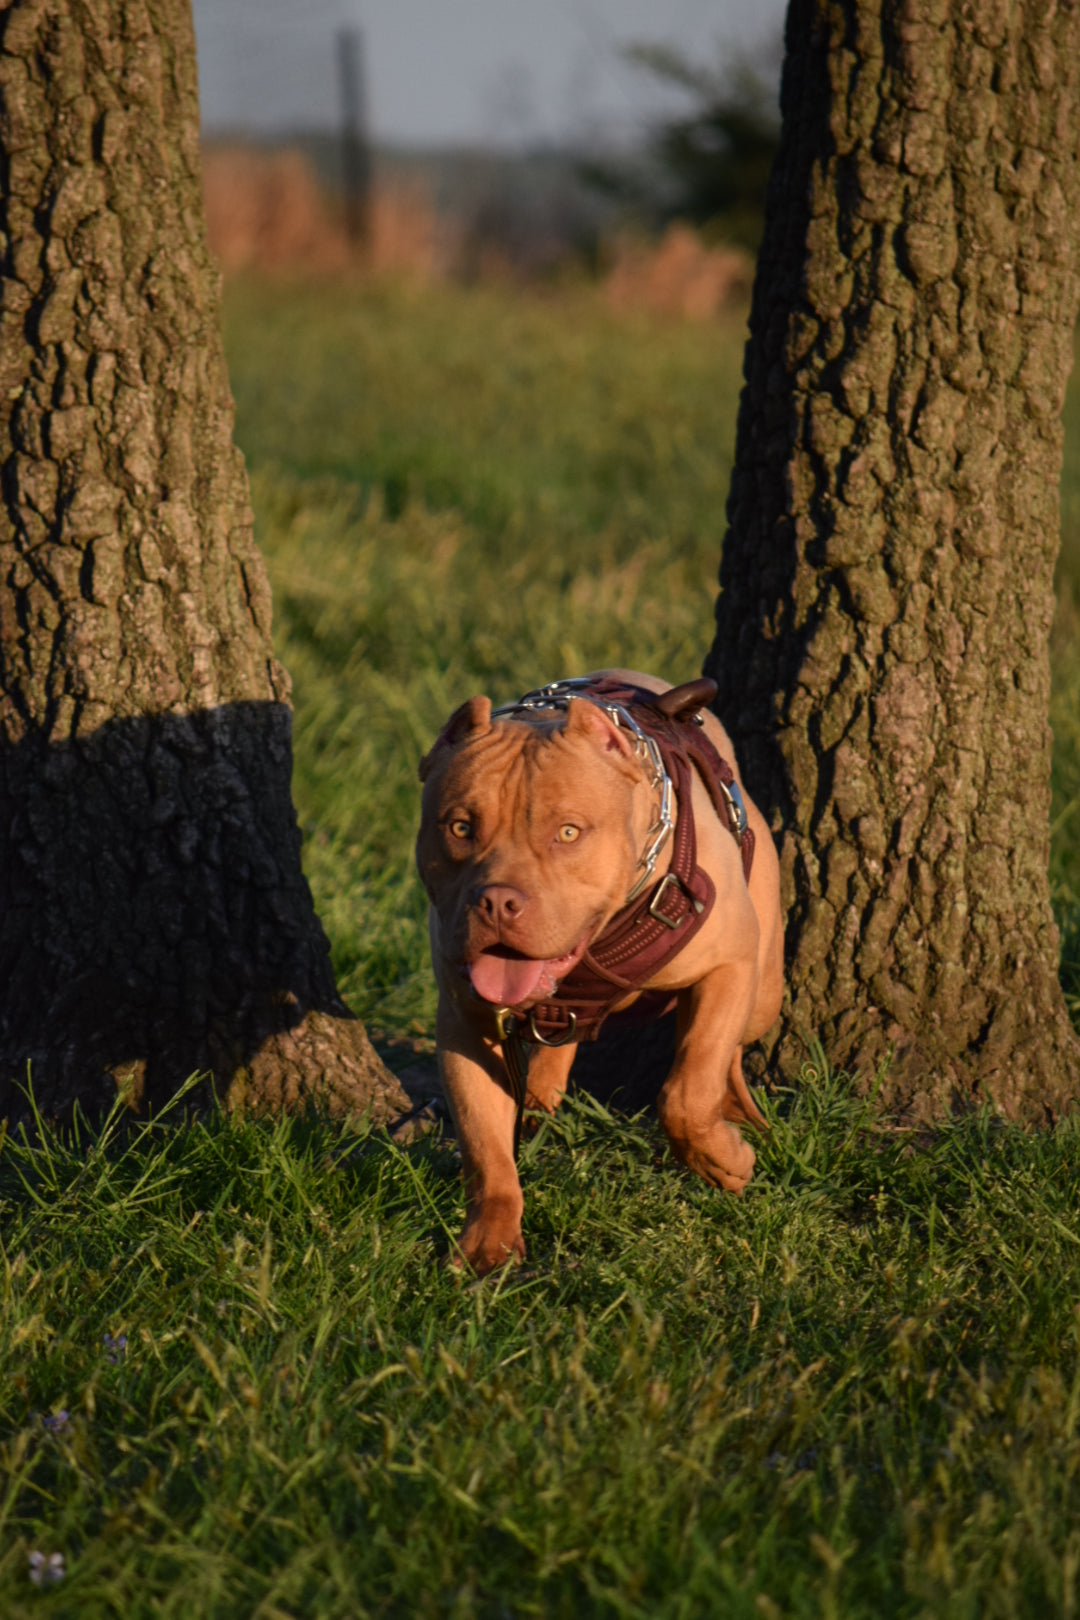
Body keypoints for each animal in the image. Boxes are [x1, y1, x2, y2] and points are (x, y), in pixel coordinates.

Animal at [417, 670, 786, 1276]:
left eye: (568, 833)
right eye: (461, 827)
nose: (495, 902)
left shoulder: (729, 963)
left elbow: (688, 1090)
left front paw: (721, 1158)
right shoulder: (466, 1025)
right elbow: (486, 1150)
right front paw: (489, 1244)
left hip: (762, 988)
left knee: (730, 1052)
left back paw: (739, 1118)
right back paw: (541, 1097)